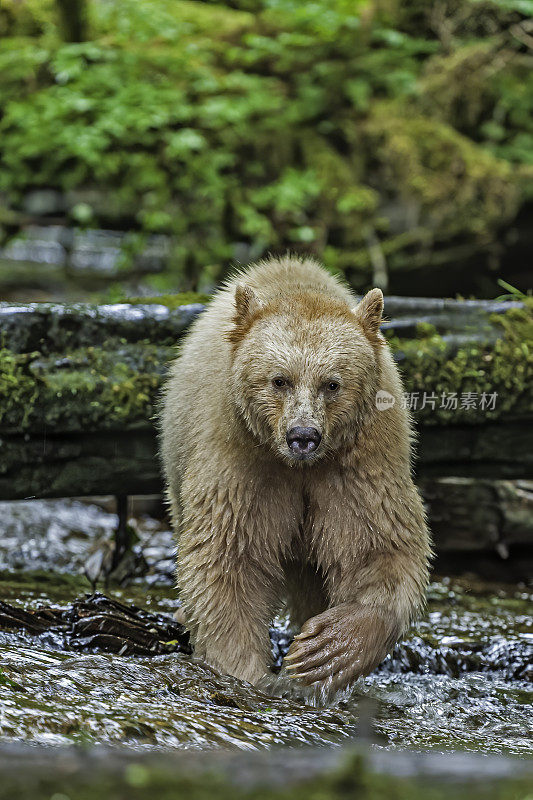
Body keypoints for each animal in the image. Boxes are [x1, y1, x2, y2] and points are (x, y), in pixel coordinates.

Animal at [160, 256, 430, 692]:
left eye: (332, 383)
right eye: (279, 380)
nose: (303, 435)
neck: (300, 467)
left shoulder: (359, 463)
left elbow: (377, 546)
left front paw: (329, 649)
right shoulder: (242, 460)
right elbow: (228, 556)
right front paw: (246, 670)